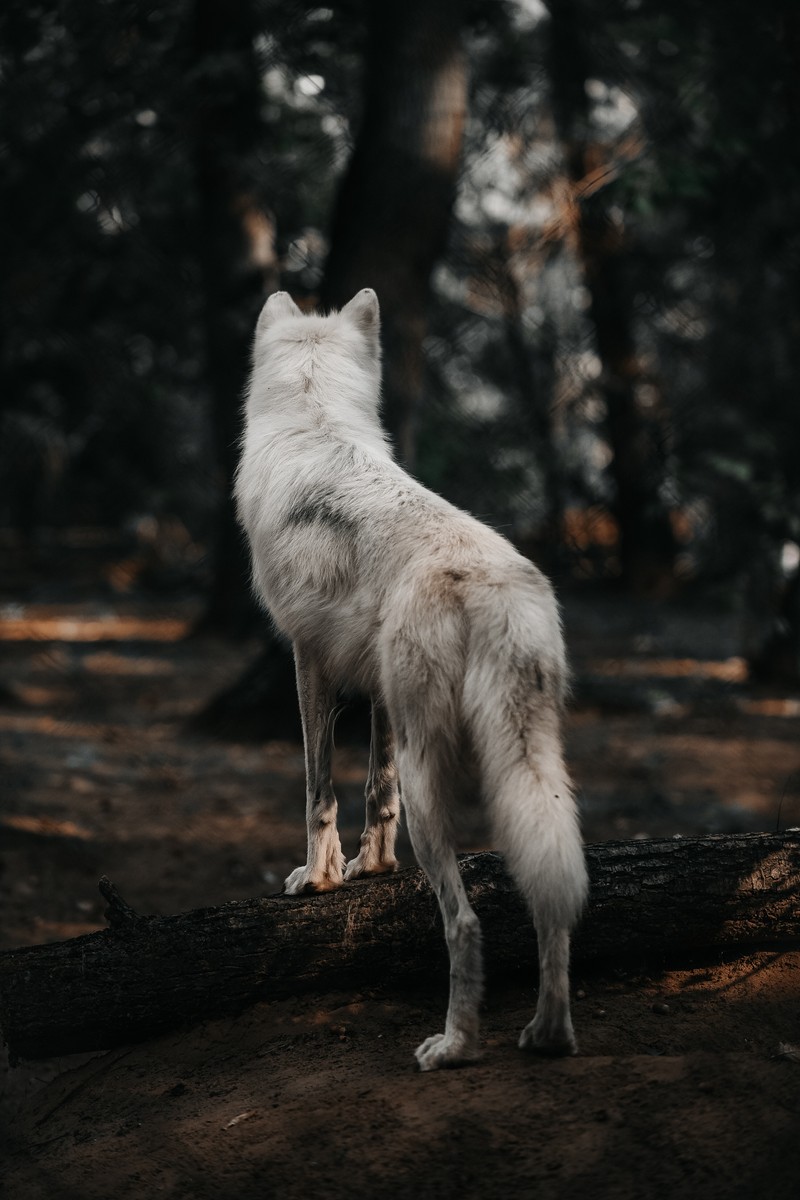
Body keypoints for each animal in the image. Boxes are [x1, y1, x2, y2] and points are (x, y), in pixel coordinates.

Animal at [231, 288, 587, 1070]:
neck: (315, 419)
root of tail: (490, 583)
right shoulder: (380, 692)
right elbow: (374, 789)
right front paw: (372, 869)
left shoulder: (308, 660)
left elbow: (319, 792)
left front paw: (320, 878)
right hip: (533, 772)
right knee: (553, 895)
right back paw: (548, 1034)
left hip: (439, 786)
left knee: (465, 924)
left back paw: (455, 1046)